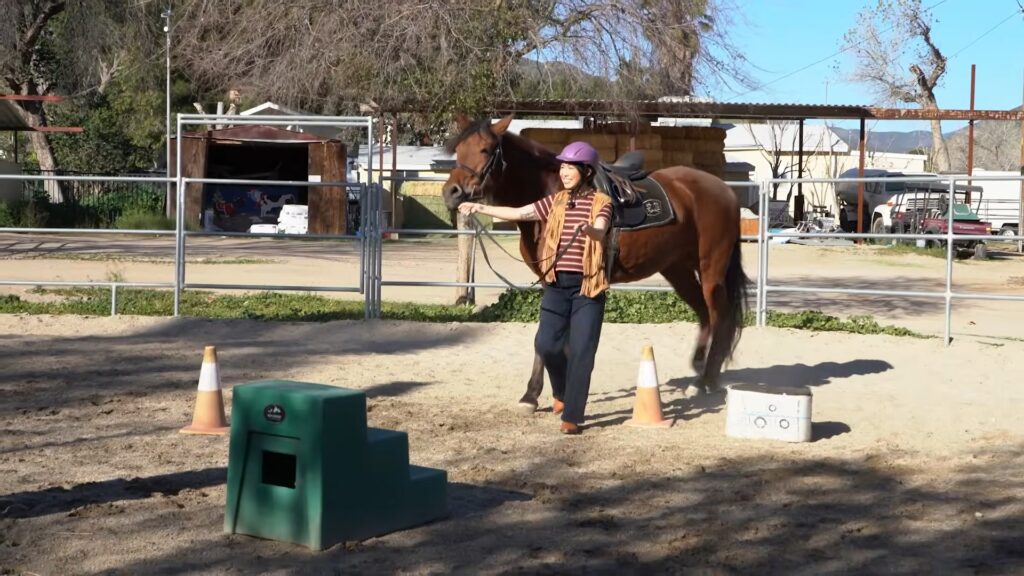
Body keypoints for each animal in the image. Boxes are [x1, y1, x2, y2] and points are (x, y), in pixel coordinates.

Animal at [441, 115, 749, 406]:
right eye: (458, 149)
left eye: (485, 149)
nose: (451, 192)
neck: (552, 194)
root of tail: (724, 190)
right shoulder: (551, 281)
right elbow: (547, 337)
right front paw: (536, 394)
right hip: (678, 270)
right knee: (705, 315)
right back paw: (701, 375)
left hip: (711, 271)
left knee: (720, 317)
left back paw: (706, 381)